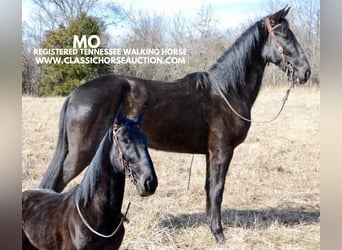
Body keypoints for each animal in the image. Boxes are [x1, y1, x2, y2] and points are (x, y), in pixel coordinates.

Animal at [39, 7, 310, 242]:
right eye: (285, 35)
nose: (305, 72)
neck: (227, 92)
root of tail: (75, 94)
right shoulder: (222, 151)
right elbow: (217, 191)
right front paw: (219, 234)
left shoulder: (210, 153)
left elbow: (209, 190)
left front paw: (211, 228)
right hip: (81, 153)